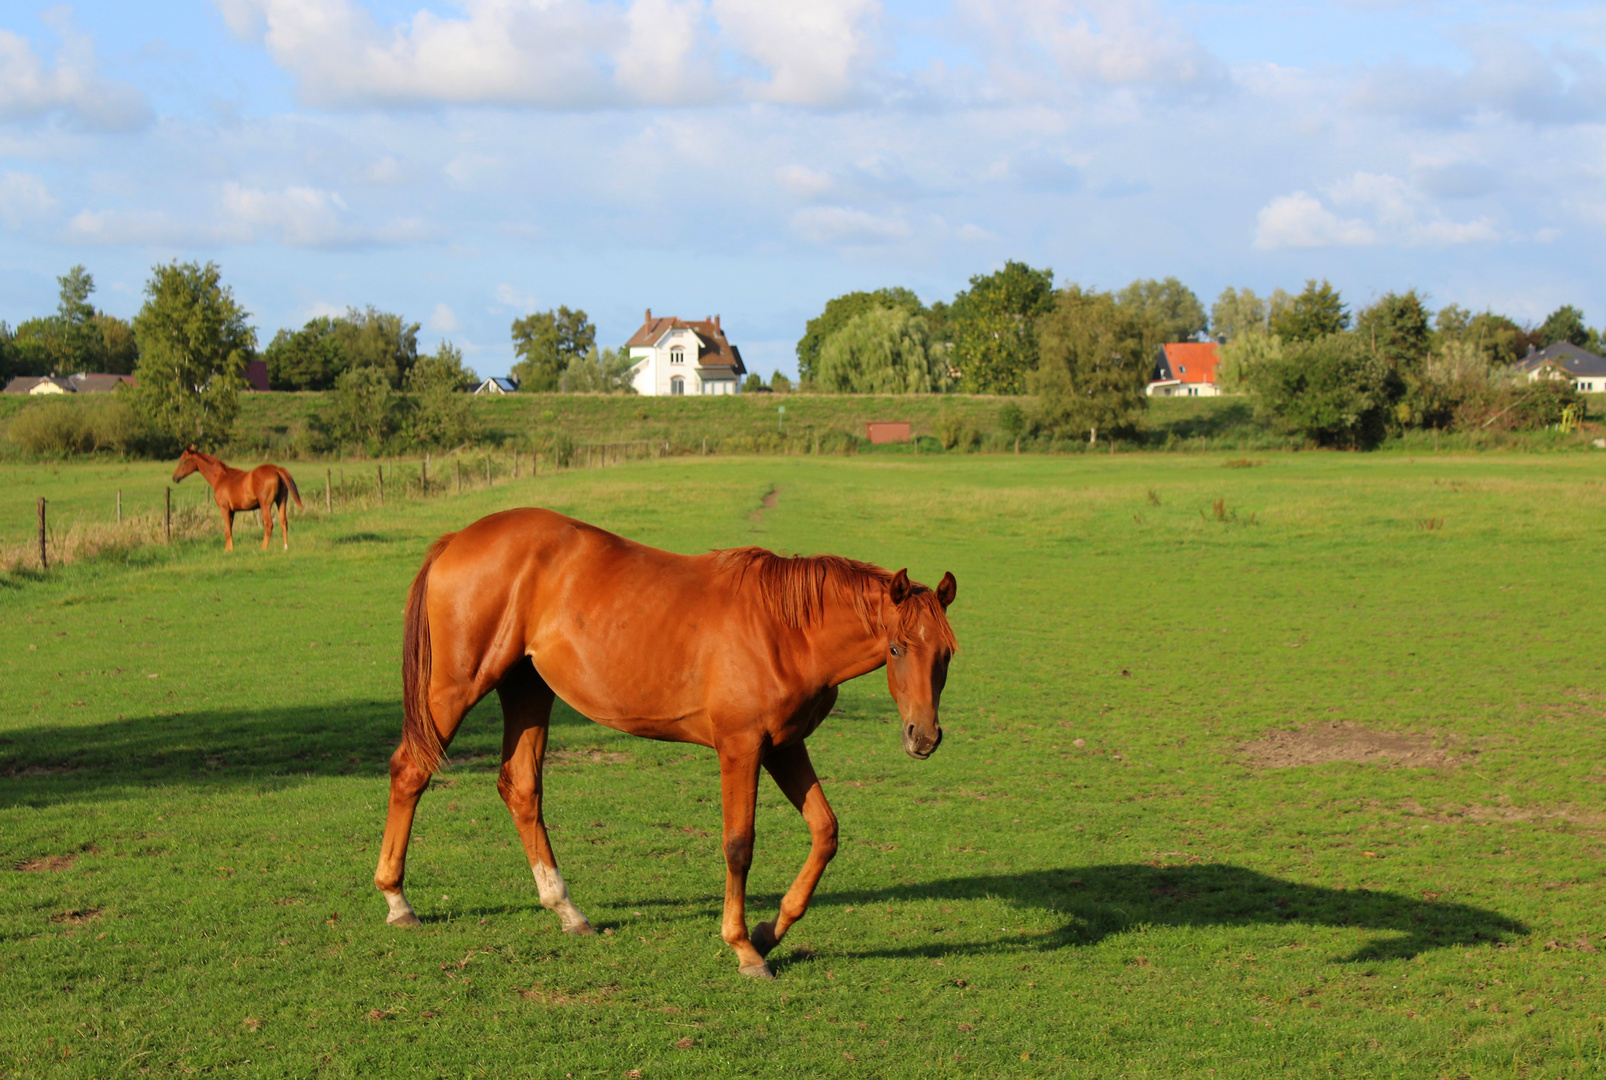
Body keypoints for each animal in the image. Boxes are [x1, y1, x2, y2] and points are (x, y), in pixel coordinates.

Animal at [172, 443, 303, 552]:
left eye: (184, 461)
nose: (174, 478)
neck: (221, 478)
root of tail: (276, 469)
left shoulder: (224, 508)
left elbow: (227, 530)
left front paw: (227, 551)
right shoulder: (232, 511)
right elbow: (229, 529)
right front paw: (230, 549)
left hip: (265, 505)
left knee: (268, 525)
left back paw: (263, 548)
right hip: (281, 501)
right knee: (284, 522)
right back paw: (285, 547)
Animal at [369, 507, 957, 977]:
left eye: (947, 653)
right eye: (898, 648)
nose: (924, 736)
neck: (786, 631)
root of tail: (459, 538)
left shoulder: (785, 747)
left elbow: (825, 832)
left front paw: (770, 931)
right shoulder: (741, 748)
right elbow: (739, 845)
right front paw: (744, 948)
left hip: (527, 689)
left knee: (521, 789)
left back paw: (567, 911)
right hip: (457, 687)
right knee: (411, 770)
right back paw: (398, 902)